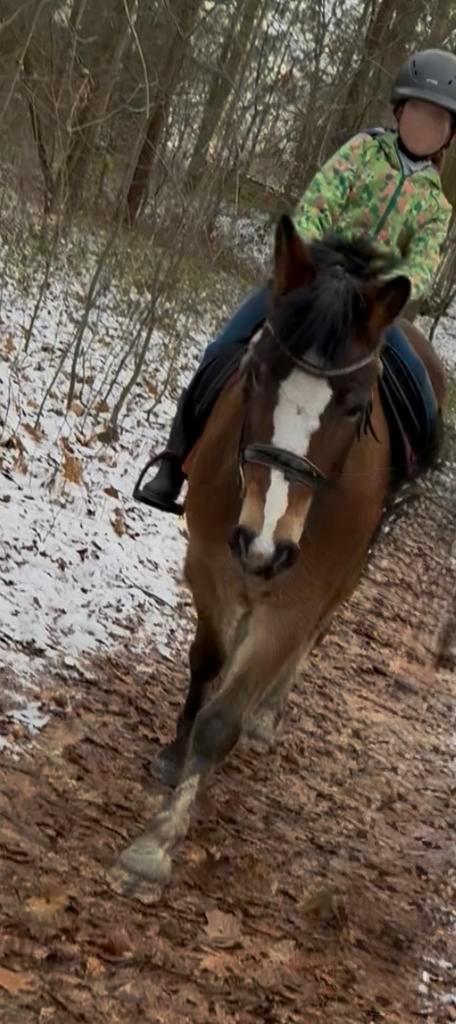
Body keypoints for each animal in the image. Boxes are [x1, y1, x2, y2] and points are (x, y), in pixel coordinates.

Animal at [119, 215, 447, 884]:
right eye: (256, 375)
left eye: (355, 405)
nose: (264, 539)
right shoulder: (210, 562)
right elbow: (206, 661)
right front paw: (173, 755)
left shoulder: (296, 594)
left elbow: (225, 717)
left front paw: (159, 840)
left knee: (315, 635)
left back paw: (266, 714)